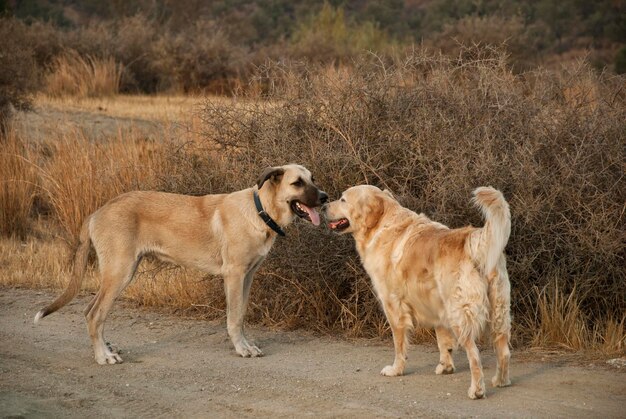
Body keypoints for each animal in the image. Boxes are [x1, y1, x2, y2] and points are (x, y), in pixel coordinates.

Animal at [34, 166, 326, 366]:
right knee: (94, 314)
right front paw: (241, 348)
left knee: (90, 311)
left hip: (120, 272)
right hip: (120, 272)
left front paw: (246, 344)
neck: (259, 210)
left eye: (313, 178)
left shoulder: (248, 276)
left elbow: (241, 315)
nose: (325, 197)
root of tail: (97, 211)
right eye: (297, 183)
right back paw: (103, 357)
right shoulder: (234, 275)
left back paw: (107, 348)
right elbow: (233, 318)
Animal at [324, 187, 510, 400]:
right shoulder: (436, 305)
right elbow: (443, 341)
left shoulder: (393, 304)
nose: (323, 205)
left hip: (460, 313)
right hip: (499, 312)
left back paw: (477, 390)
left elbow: (399, 344)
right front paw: (446, 367)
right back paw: (501, 381)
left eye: (343, 199)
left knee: (475, 356)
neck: (383, 224)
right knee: (504, 351)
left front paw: (396, 369)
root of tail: (472, 240)